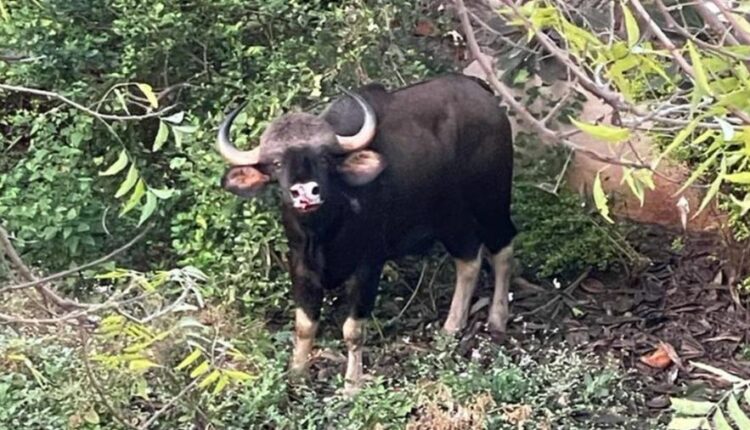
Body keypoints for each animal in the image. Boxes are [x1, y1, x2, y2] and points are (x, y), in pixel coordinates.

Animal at [217, 74, 516, 394]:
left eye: (324, 159)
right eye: (276, 163)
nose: (306, 193)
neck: (325, 231)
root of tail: (485, 96)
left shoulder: (368, 265)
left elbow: (353, 329)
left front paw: (352, 385)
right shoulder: (300, 264)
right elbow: (304, 325)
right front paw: (297, 375)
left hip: (491, 202)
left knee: (502, 247)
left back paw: (497, 319)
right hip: (451, 218)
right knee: (469, 259)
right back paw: (451, 328)